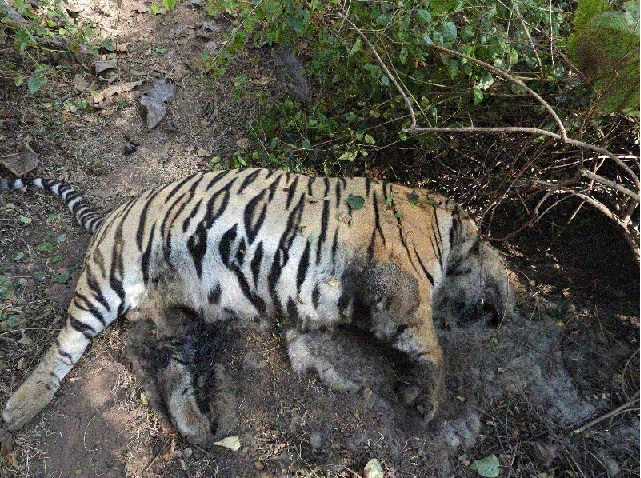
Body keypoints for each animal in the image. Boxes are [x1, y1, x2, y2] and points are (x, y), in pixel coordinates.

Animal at [0, 167, 512, 445]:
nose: (506, 309)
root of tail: (113, 212)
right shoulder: (402, 284)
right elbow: (429, 344)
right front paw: (427, 399)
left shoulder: (320, 300)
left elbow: (309, 344)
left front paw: (338, 377)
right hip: (108, 281)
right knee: (63, 347)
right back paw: (19, 409)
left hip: (178, 316)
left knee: (170, 370)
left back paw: (196, 427)